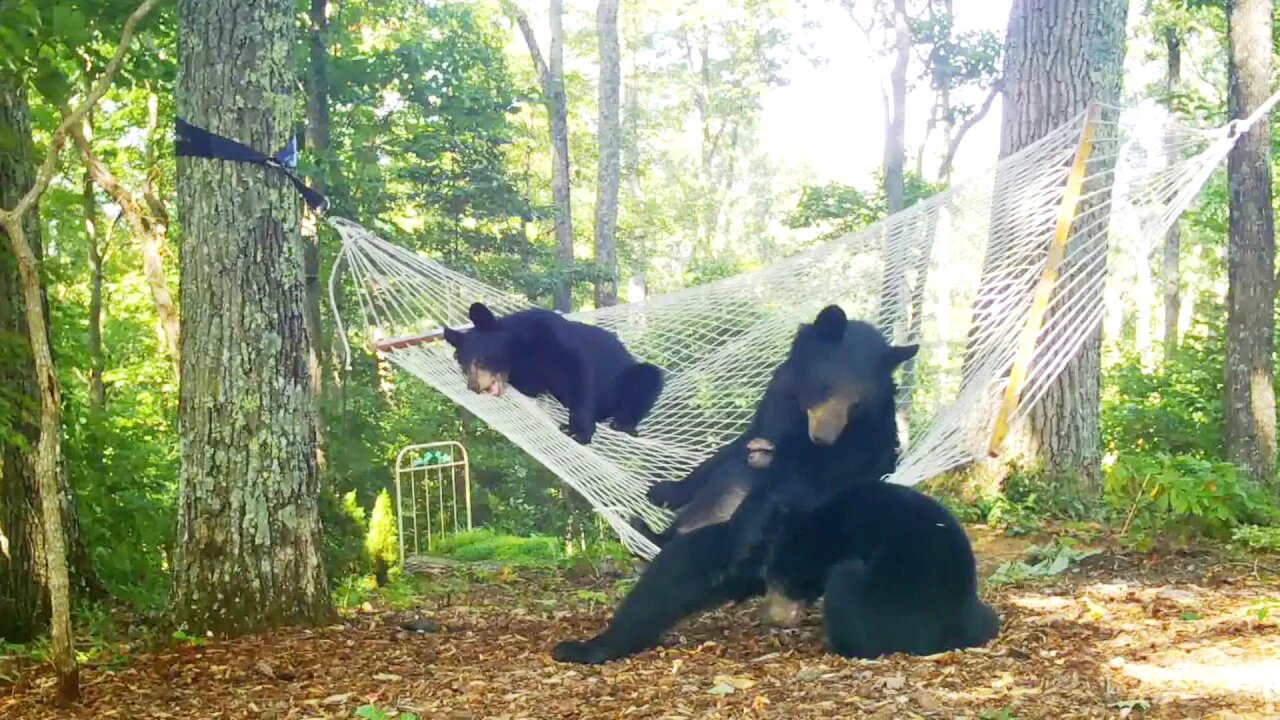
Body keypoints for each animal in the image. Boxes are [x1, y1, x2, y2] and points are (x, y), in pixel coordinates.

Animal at [442, 298, 665, 443]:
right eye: (463, 367)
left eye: (479, 360)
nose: (473, 386)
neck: (520, 349)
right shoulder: (527, 373)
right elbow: (532, 386)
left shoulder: (552, 334)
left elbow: (580, 374)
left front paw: (580, 431)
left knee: (648, 377)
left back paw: (623, 424)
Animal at [552, 302, 998, 661]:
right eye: (826, 388)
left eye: (855, 402)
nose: (824, 437)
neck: (799, 419)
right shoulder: (770, 409)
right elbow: (729, 453)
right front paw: (664, 489)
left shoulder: (856, 447)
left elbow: (807, 476)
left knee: (669, 579)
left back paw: (586, 645)